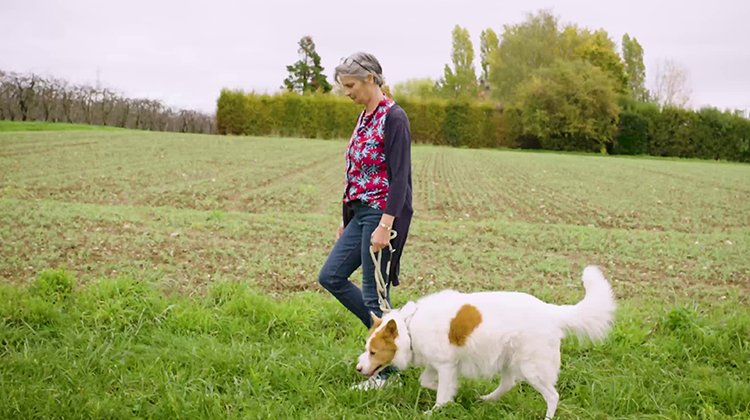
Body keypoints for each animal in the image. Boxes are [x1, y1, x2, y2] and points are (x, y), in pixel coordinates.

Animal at [356, 266, 616, 416]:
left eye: (373, 352)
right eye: (367, 349)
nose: (358, 368)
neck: (410, 326)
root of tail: (552, 311)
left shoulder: (446, 365)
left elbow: (440, 393)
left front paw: (437, 409)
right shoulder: (437, 364)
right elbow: (428, 381)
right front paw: (454, 393)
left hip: (532, 368)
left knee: (552, 396)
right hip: (509, 359)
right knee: (508, 384)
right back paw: (486, 400)